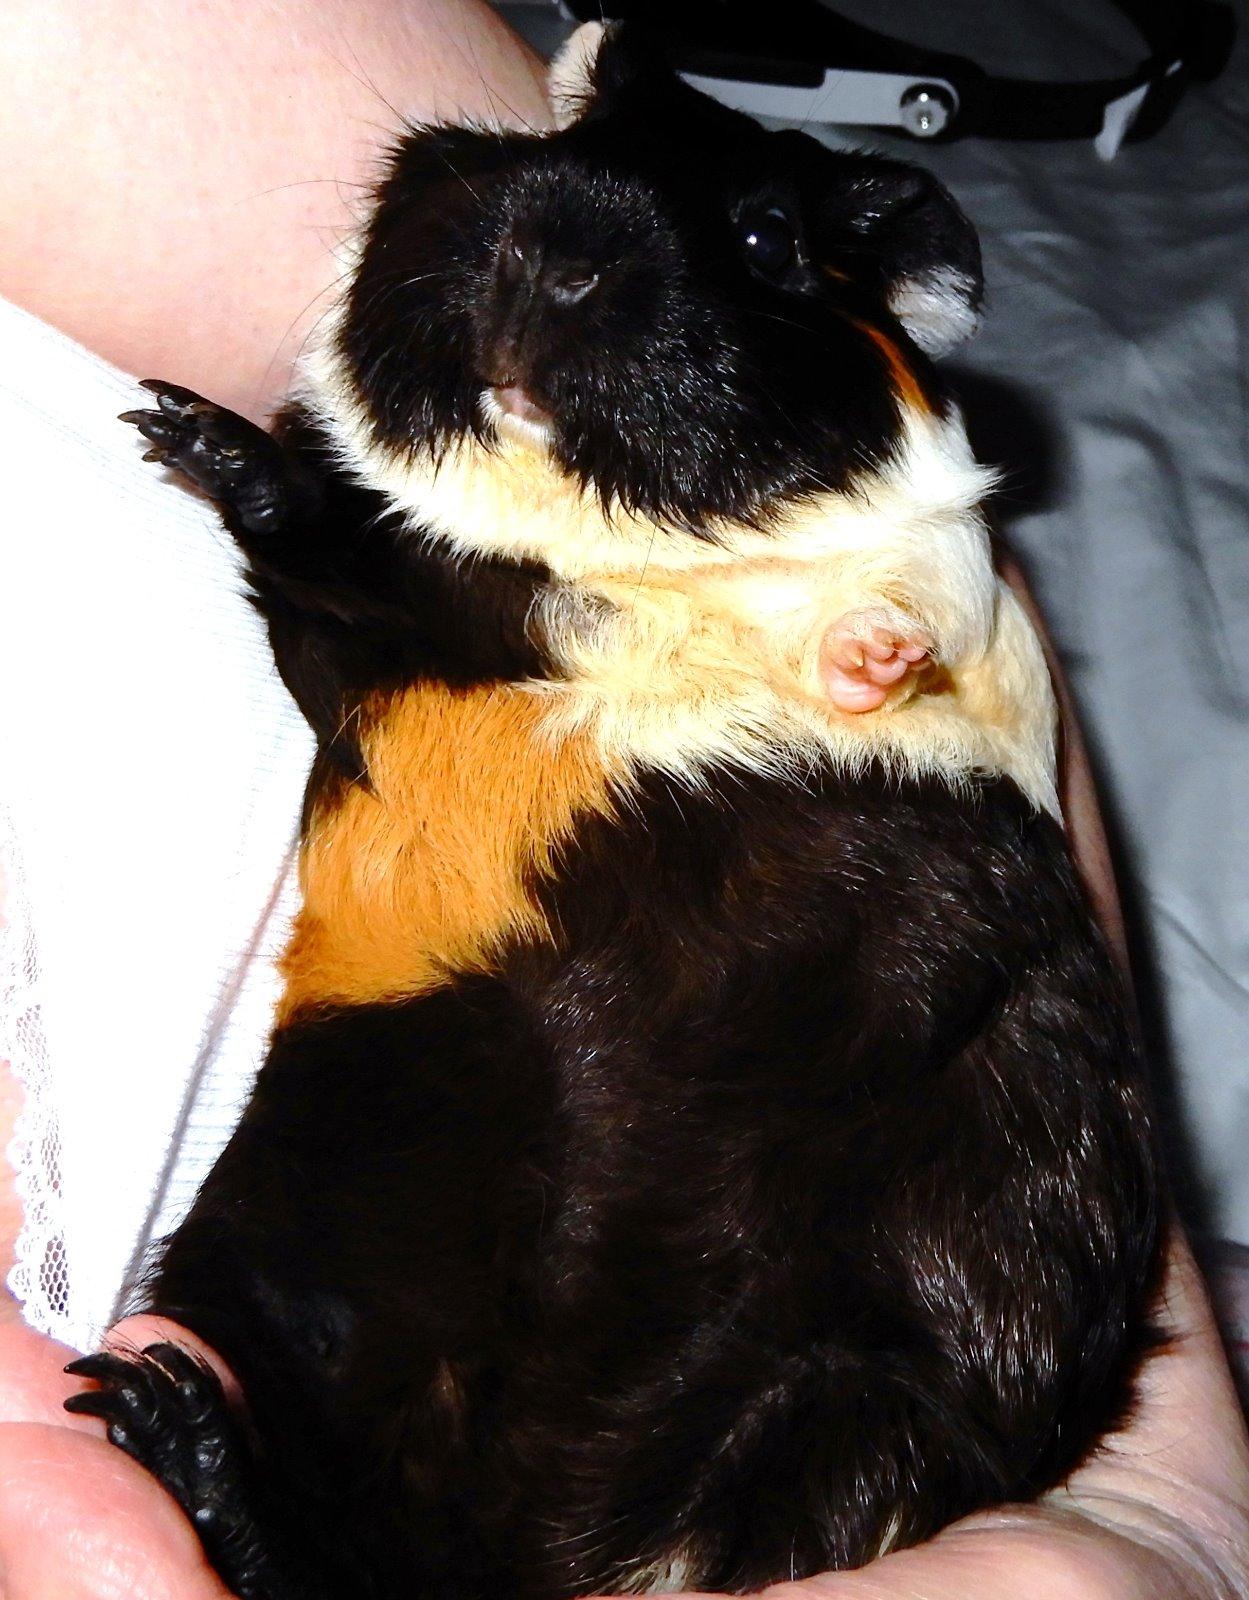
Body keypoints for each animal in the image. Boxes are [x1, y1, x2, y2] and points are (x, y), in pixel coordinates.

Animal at [72, 23, 1159, 1600]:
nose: (559, 250)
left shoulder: (935, 585)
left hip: (843, 1394)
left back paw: (157, 1417)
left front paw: (872, 659)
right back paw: (157, 1418)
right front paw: (174, 428)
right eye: (549, 146)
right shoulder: (358, 622)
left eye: (769, 238)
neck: (576, 559)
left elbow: (886, 604)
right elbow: (303, 517)